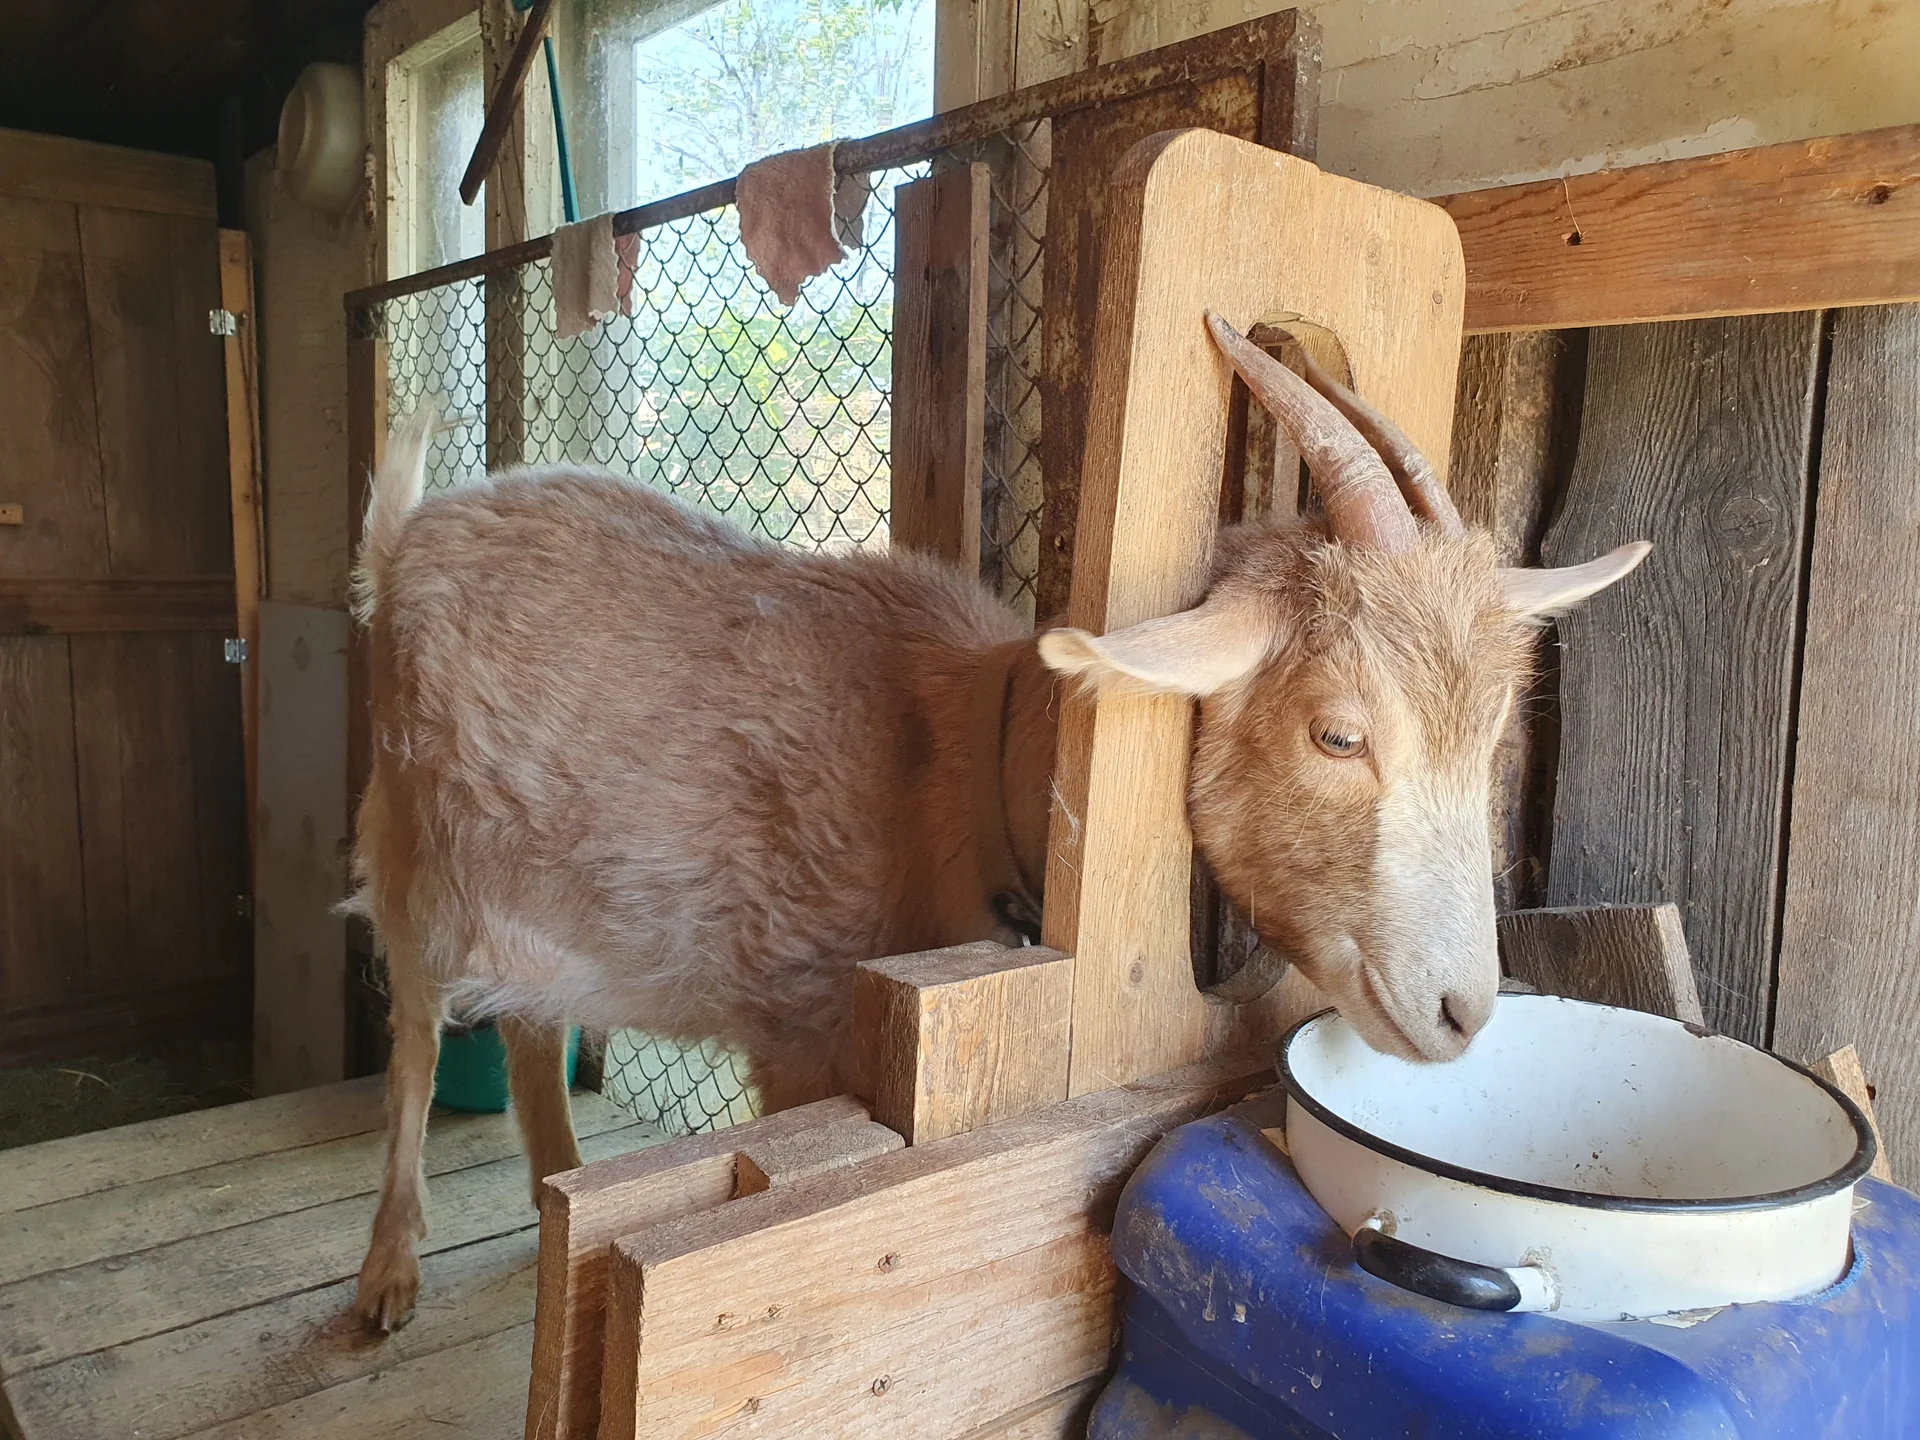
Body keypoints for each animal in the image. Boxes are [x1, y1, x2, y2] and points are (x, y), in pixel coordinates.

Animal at [347, 313, 1648, 1330]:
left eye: (1493, 732)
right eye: (1338, 735)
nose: (1463, 1010)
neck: (965, 765)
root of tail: (409, 533)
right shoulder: (795, 1016)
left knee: (525, 1021)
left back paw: (550, 1196)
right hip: (412, 837)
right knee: (413, 1034)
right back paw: (387, 1273)